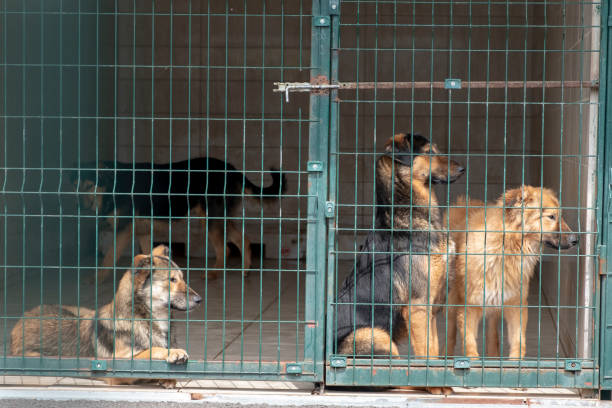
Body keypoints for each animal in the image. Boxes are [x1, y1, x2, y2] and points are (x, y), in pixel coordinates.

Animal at [10, 244, 201, 388]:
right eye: (172, 280)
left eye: (182, 278)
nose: (199, 300)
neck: (146, 319)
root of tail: (23, 318)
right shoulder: (119, 367)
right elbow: (151, 350)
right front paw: (174, 352)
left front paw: (168, 378)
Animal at [334, 134, 464, 396]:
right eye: (430, 152)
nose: (463, 169)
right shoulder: (417, 306)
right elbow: (427, 354)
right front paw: (435, 386)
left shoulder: (430, 310)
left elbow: (433, 349)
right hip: (373, 335)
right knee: (386, 378)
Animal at [444, 186, 580, 358]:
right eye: (551, 216)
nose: (576, 240)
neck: (506, 250)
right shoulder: (469, 306)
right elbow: (469, 346)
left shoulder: (516, 305)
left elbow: (518, 343)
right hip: (452, 300)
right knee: (450, 332)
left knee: (492, 331)